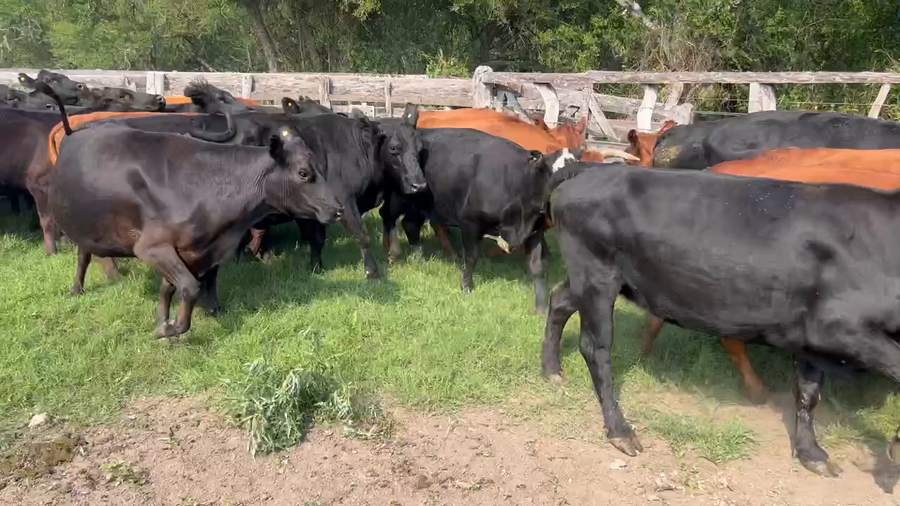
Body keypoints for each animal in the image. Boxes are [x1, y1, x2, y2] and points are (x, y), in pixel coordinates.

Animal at [44, 87, 343, 340]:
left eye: (320, 167)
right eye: (303, 173)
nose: (337, 209)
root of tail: (74, 131)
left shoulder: (200, 252)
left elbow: (179, 287)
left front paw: (179, 317)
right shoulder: (152, 248)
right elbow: (189, 287)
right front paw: (171, 328)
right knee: (83, 257)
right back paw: (77, 289)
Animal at [379, 127, 579, 313]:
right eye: (553, 175)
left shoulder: (534, 232)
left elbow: (536, 267)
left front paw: (541, 307)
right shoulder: (470, 223)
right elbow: (471, 256)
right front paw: (467, 286)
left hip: (421, 204)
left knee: (410, 224)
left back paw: (418, 256)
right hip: (397, 198)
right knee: (388, 217)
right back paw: (393, 254)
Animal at [542, 161, 900, 477]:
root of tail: (590, 169)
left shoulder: (810, 337)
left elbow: (808, 392)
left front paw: (811, 452)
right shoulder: (835, 327)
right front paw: (894, 447)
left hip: (589, 279)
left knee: (558, 300)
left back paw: (552, 372)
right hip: (596, 276)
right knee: (596, 348)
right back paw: (620, 431)